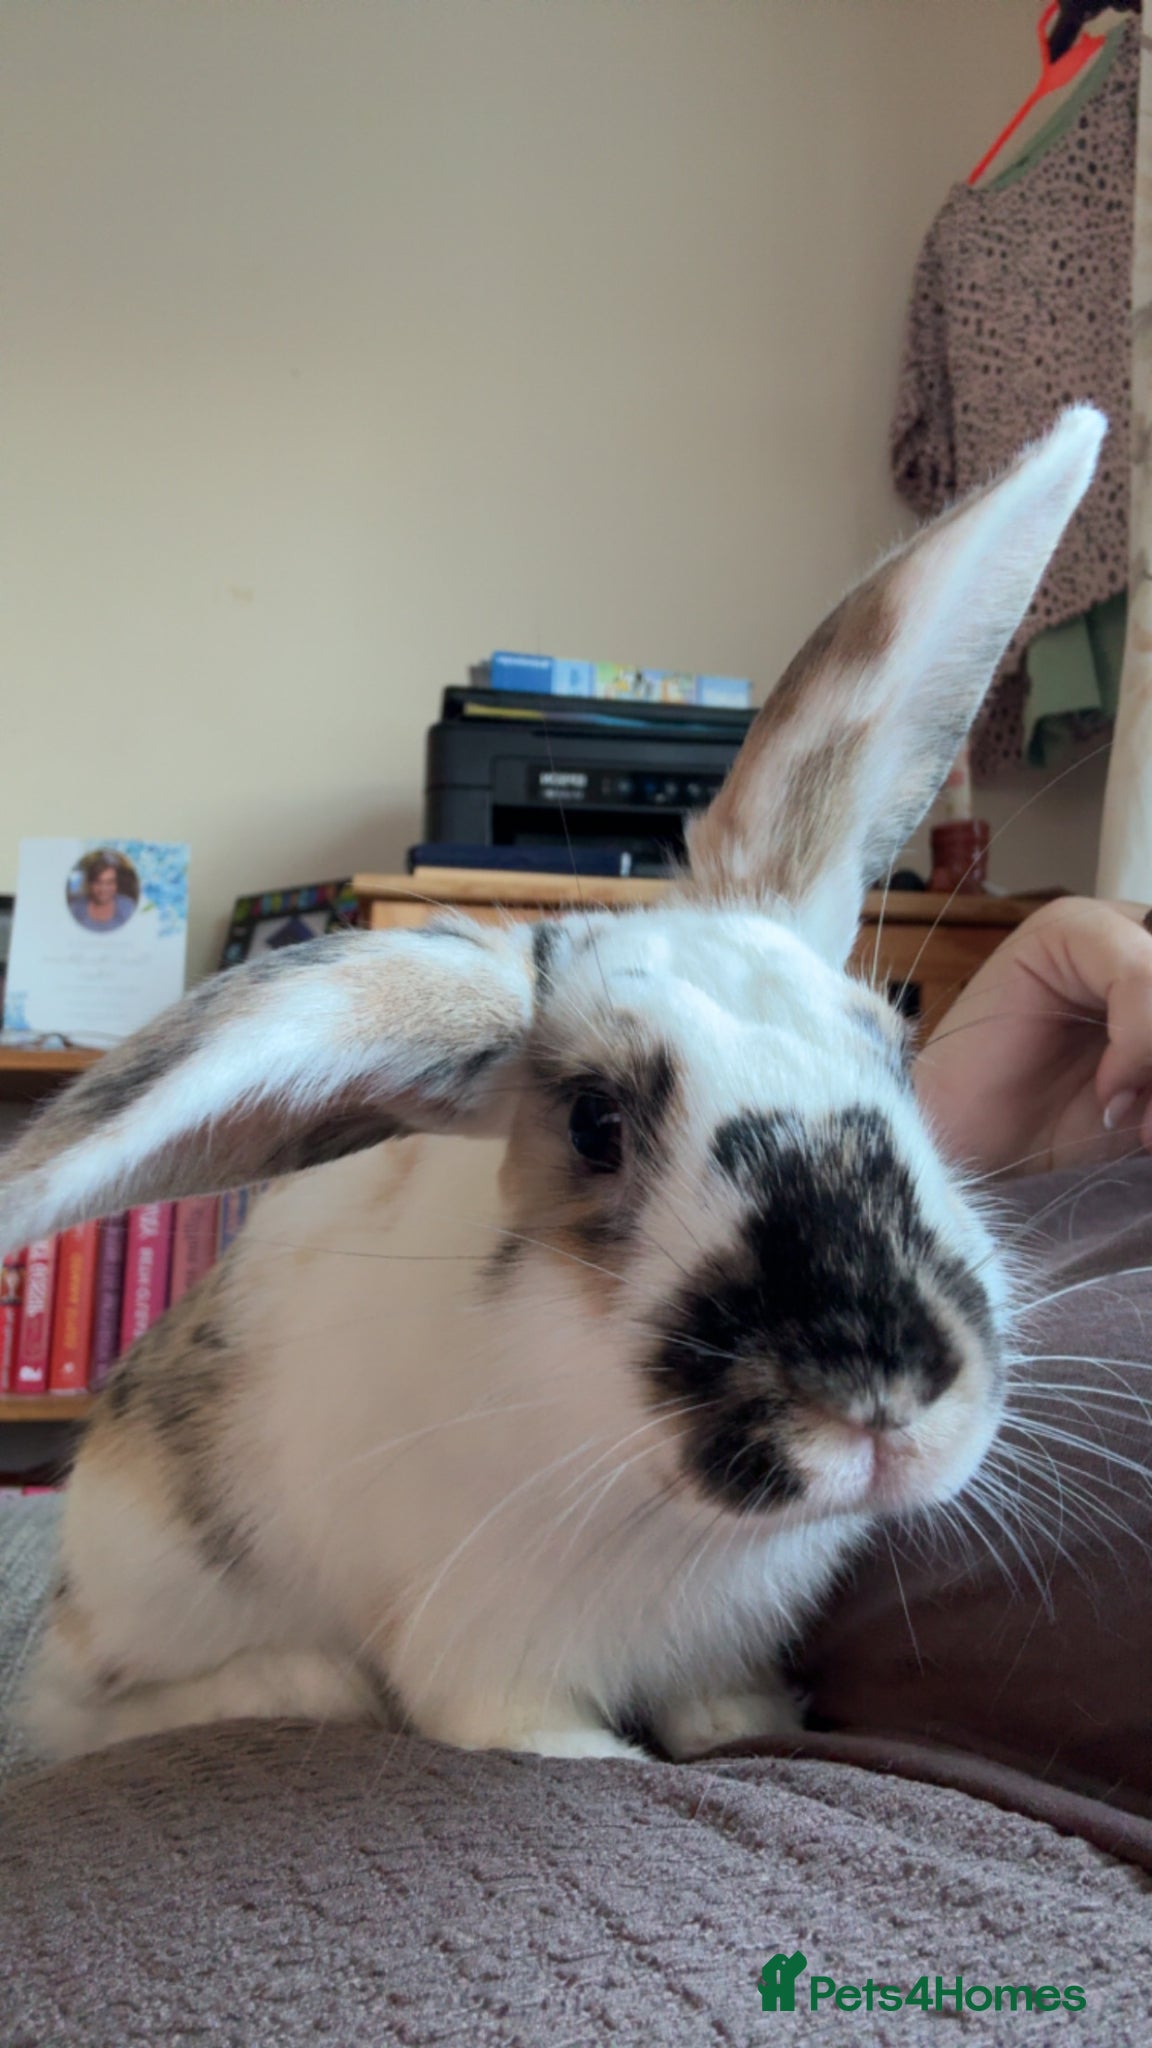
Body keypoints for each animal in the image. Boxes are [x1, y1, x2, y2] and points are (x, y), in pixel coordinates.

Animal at [0, 406, 1104, 1765]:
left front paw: (742, 1728)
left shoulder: (716, 1643)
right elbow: (542, 1736)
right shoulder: (491, 1654)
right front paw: (601, 1758)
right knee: (90, 1713)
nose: (880, 1399)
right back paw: (299, 1683)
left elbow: (721, 1704)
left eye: (896, 1055)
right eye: (595, 1123)